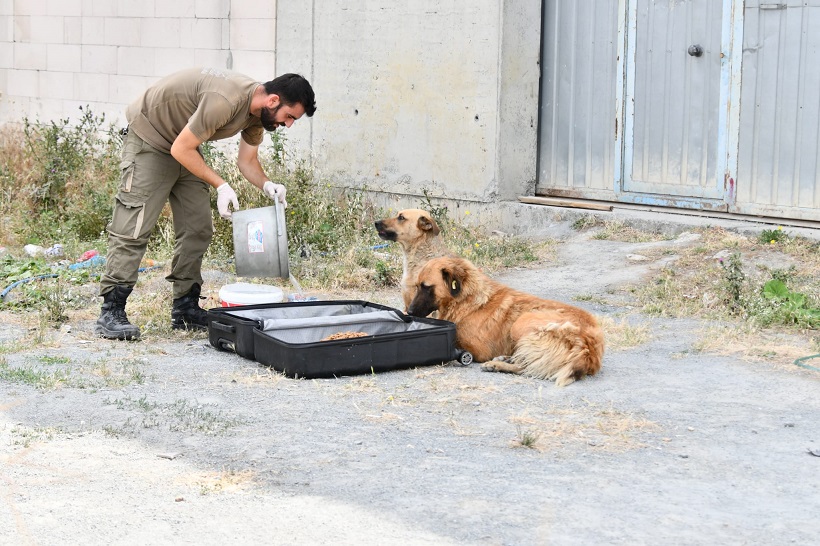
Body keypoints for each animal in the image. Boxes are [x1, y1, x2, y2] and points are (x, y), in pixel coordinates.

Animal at [408, 254, 604, 384]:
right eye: (417, 286)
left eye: (426, 287)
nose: (409, 312)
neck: (469, 300)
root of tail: (587, 349)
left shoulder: (477, 349)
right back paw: (504, 360)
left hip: (521, 323)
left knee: (527, 367)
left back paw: (497, 365)